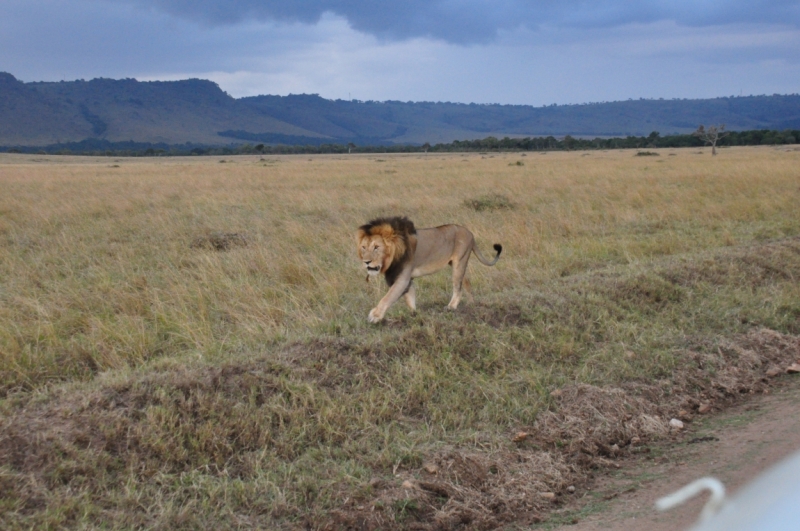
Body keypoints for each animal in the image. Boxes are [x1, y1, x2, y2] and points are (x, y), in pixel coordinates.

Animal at [354, 217, 500, 324]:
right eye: (363, 247)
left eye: (376, 247)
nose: (366, 262)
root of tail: (470, 233)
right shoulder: (407, 279)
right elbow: (409, 296)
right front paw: (413, 313)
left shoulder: (402, 278)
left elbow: (388, 297)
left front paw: (375, 315)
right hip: (458, 264)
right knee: (467, 282)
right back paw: (471, 304)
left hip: (459, 263)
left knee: (457, 287)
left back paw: (451, 307)